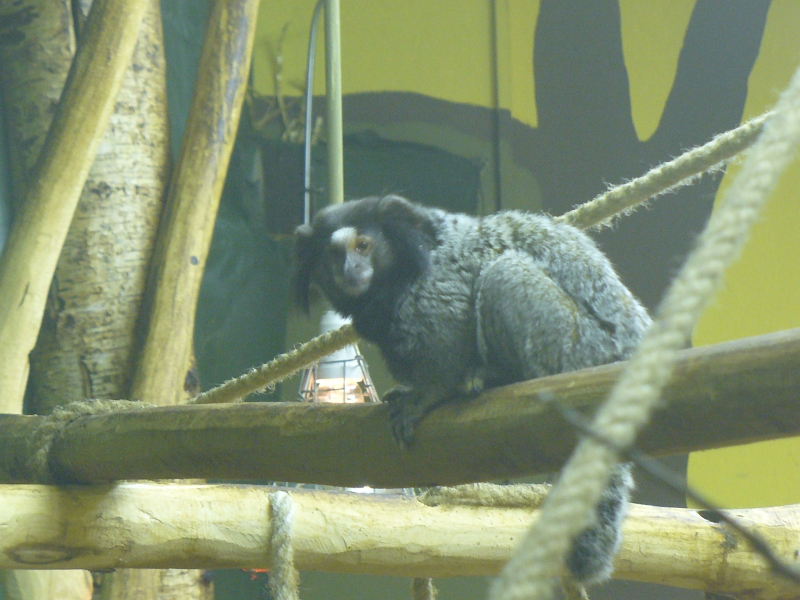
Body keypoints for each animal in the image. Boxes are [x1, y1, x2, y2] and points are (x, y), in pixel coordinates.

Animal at [293, 194, 651, 584]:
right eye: (333, 255)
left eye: (363, 246)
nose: (350, 268)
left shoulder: (437, 284)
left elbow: (450, 333)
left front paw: (431, 395)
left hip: (578, 347)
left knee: (503, 273)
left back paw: (496, 377)